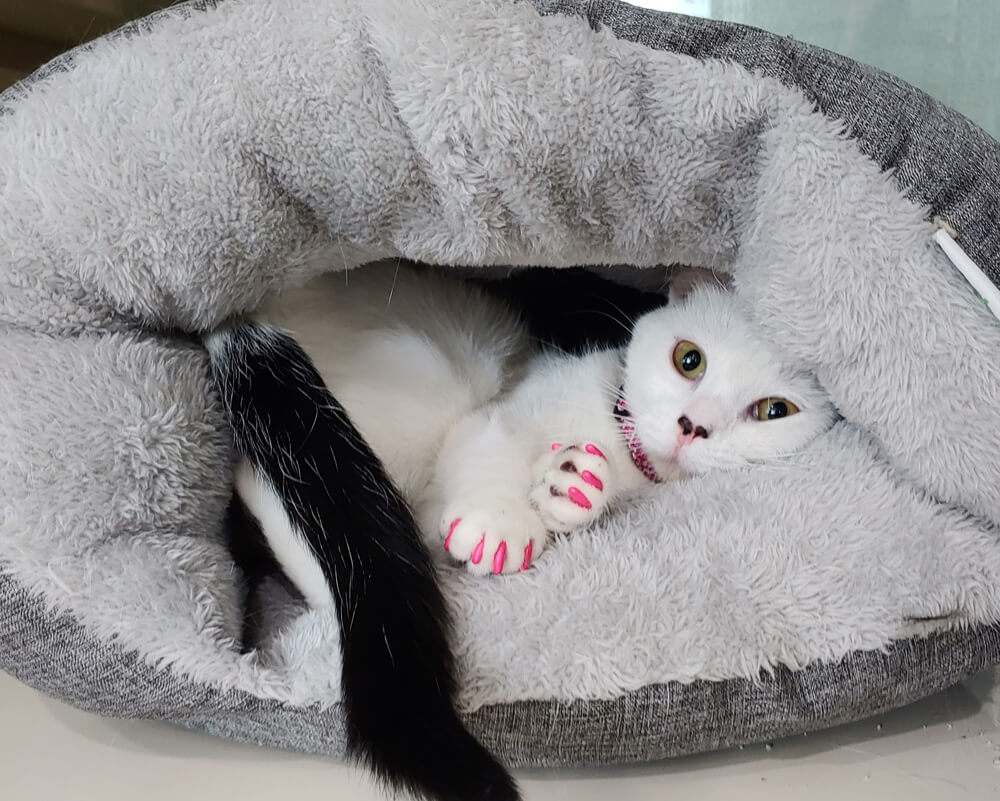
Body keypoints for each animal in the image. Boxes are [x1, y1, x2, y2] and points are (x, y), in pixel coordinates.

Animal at [207, 262, 840, 800]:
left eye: (774, 410)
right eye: (690, 359)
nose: (694, 426)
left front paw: (574, 487)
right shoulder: (492, 417)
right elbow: (489, 445)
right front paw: (500, 522)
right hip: (431, 372)